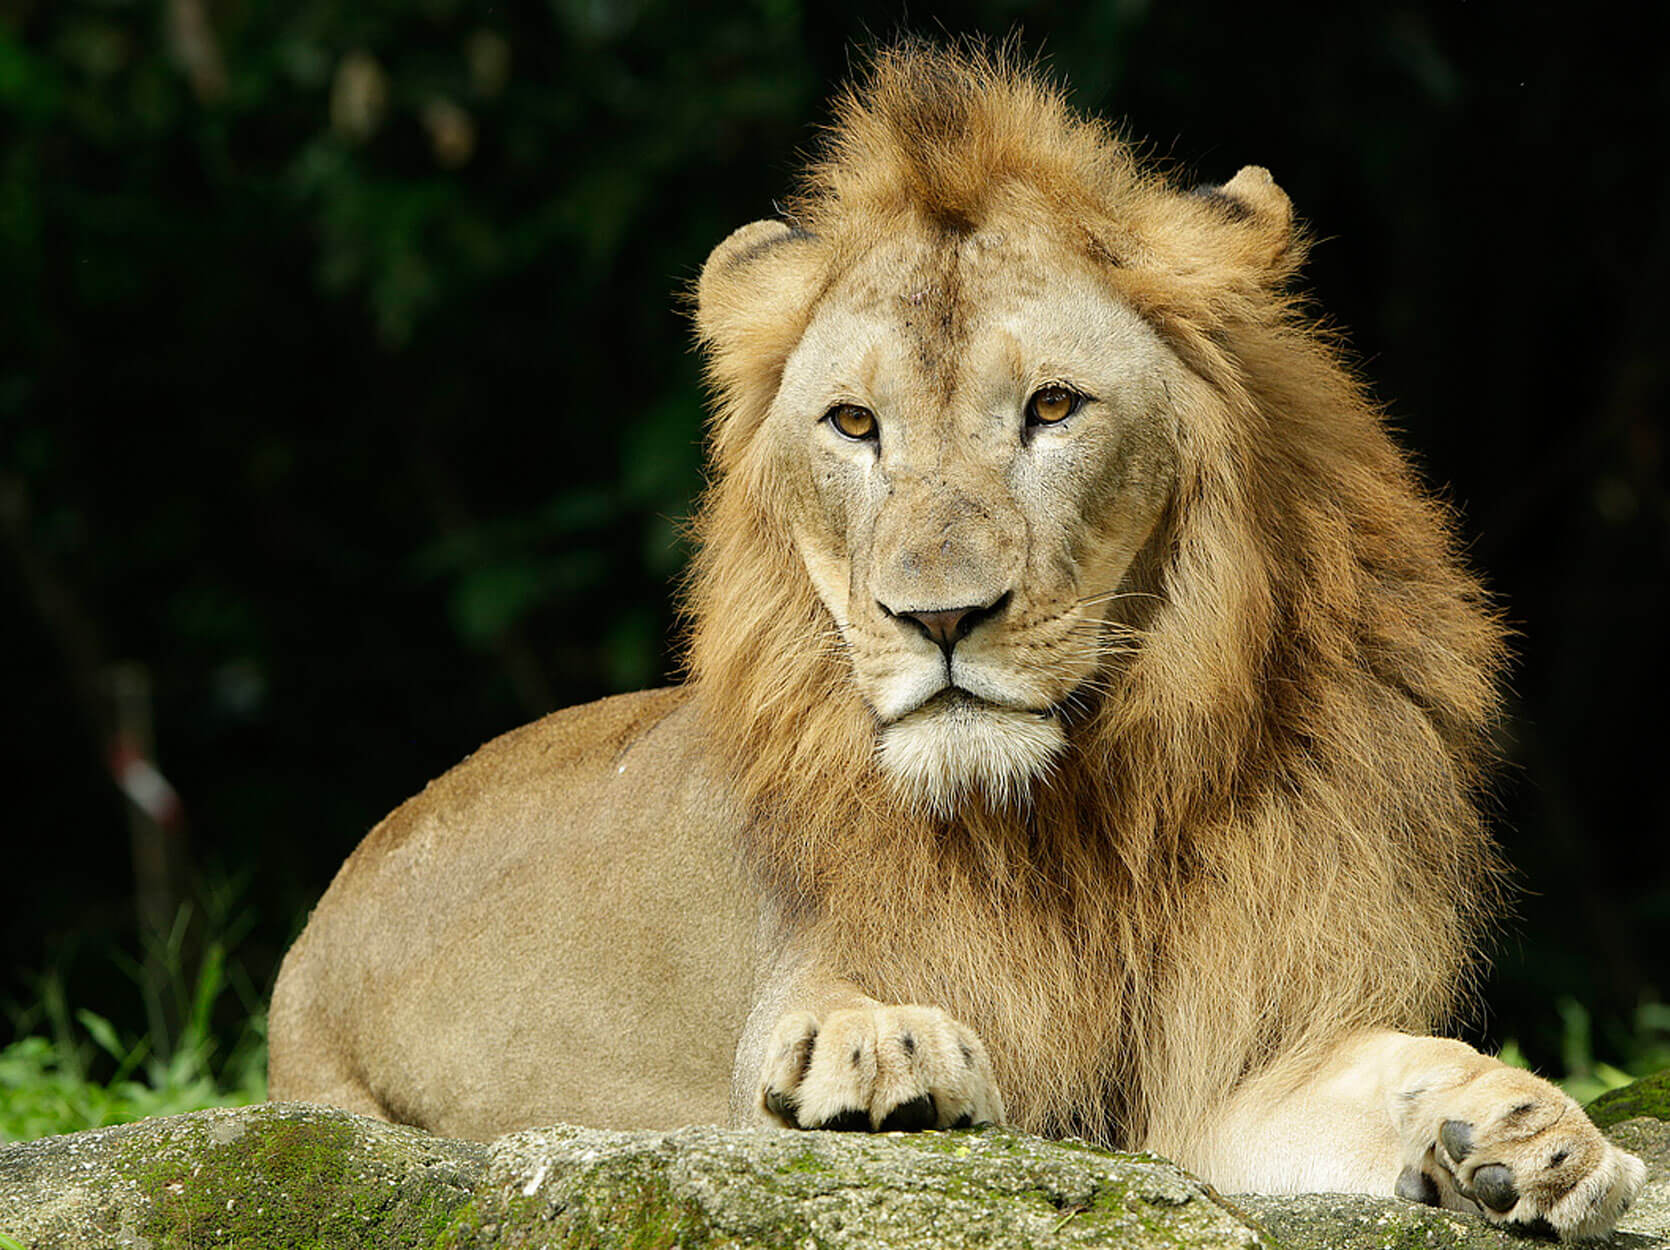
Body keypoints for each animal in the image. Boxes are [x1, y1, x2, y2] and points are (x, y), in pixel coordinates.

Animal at [270, 41, 1643, 1241]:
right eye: (852, 422)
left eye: (1052, 406)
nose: (936, 617)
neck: (1084, 809)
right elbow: (823, 1021)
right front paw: (873, 1049)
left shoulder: (1233, 1063)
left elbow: (1388, 1067)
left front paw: (1526, 1132)